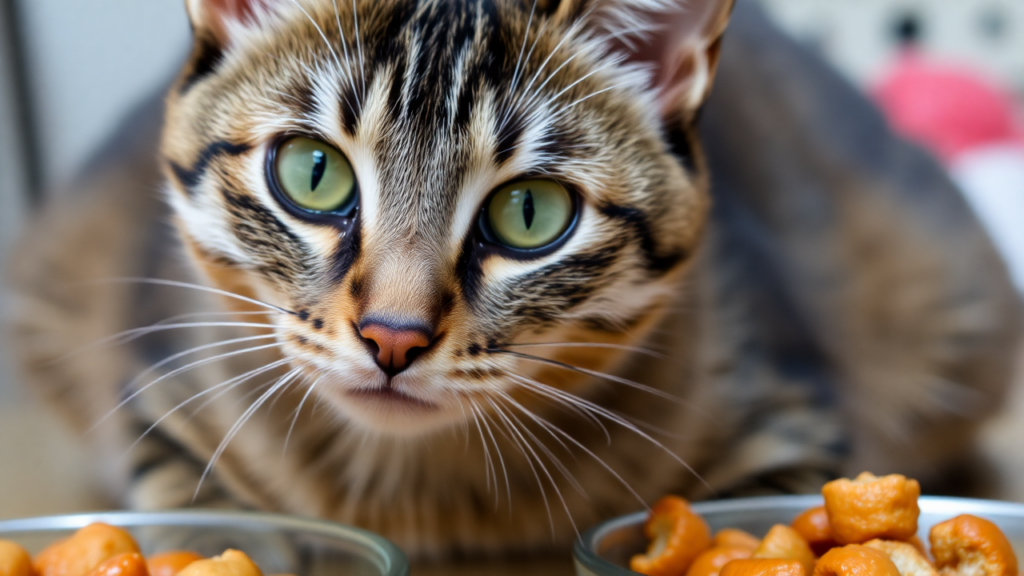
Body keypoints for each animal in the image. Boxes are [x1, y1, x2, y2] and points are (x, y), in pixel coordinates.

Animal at [9, 0, 1024, 561]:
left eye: (530, 214)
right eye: (312, 172)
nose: (392, 336)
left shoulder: (794, 424)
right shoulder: (159, 409)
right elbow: (195, 519)